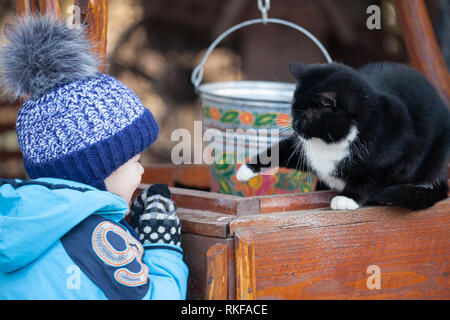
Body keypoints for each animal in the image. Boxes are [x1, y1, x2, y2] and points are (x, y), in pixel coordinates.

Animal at [237, 62, 448, 210]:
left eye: (303, 117)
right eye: (293, 110)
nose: (295, 126)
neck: (334, 142)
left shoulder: (399, 156)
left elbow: (372, 178)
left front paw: (347, 198)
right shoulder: (305, 148)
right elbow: (281, 149)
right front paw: (246, 169)